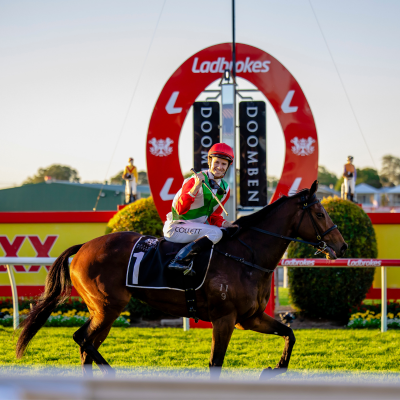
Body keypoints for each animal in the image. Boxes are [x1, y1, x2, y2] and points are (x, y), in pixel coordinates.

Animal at [15, 181, 346, 378]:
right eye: (320, 213)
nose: (342, 246)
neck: (247, 257)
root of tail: (84, 246)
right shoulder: (225, 318)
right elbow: (215, 363)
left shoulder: (249, 318)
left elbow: (290, 334)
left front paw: (274, 368)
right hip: (108, 306)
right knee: (82, 338)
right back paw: (111, 371)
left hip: (104, 310)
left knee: (85, 345)